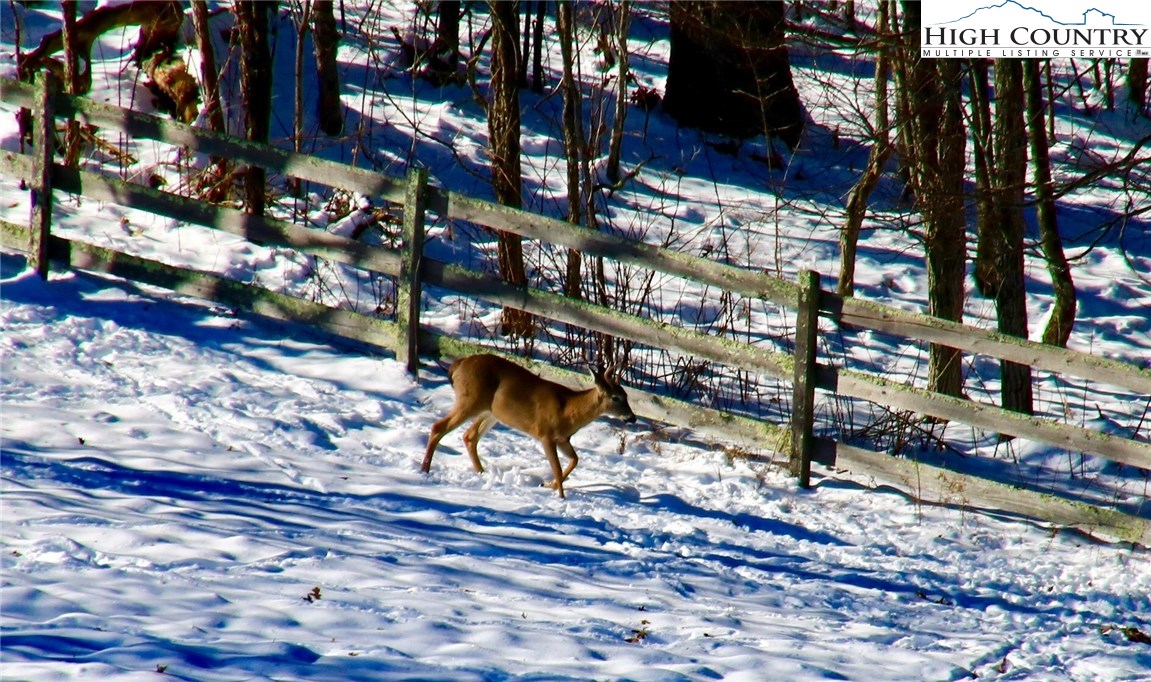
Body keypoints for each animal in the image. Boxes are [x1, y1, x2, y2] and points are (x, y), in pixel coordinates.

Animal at [422, 353, 637, 498]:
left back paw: (482, 473)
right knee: (439, 427)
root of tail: (458, 364)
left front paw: (549, 485)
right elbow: (557, 467)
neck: (567, 410)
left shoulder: (563, 439)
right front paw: (561, 496)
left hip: (490, 412)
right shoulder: (545, 434)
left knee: (469, 436)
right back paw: (425, 469)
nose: (633, 418)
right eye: (616, 397)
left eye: (626, 395)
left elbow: (575, 460)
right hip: (470, 400)